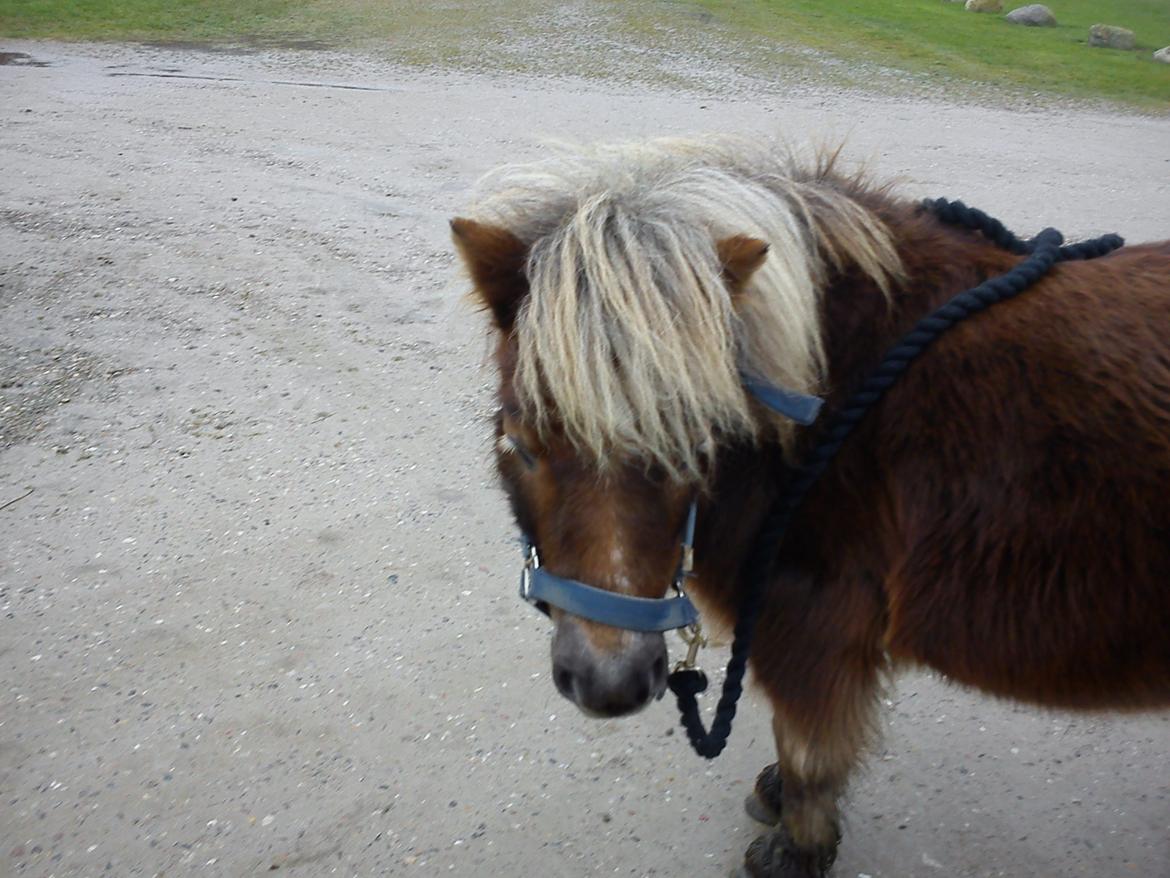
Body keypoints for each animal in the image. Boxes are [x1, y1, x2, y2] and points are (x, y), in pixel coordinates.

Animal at [449, 137, 1170, 878]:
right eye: (520, 442)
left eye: (699, 441)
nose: (609, 683)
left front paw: (797, 850)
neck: (830, 403)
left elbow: (808, 754)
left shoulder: (812, 622)